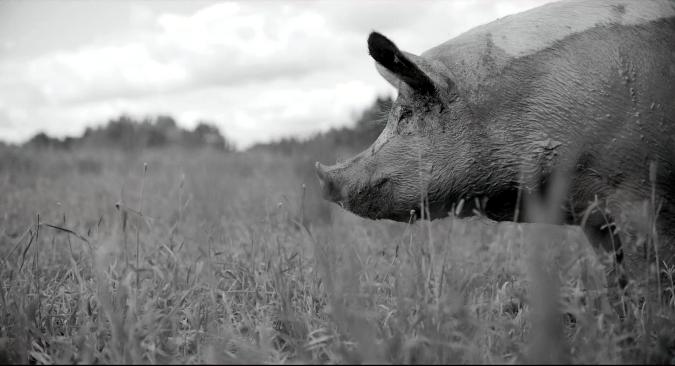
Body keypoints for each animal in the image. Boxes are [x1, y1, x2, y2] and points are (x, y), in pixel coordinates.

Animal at [314, 0, 675, 288]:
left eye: (405, 115)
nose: (324, 181)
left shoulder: (639, 188)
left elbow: (651, 270)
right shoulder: (593, 215)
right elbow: (615, 273)